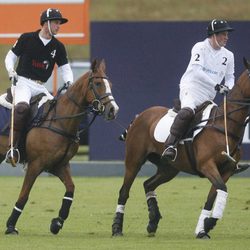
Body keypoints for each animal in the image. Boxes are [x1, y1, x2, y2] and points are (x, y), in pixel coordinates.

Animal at [0, 58, 119, 234]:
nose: (113, 110)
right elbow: (24, 195)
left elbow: (70, 189)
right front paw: (10, 226)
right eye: (98, 83)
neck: (61, 121)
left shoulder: (59, 165)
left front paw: (57, 222)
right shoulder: (36, 164)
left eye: (110, 83)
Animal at [112, 58, 250, 238]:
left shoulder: (226, 171)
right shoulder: (207, 165)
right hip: (134, 160)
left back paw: (153, 221)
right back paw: (117, 229)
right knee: (124, 191)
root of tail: (139, 116)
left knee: (148, 184)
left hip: (169, 168)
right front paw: (208, 224)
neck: (226, 126)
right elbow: (222, 189)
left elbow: (213, 196)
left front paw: (202, 229)